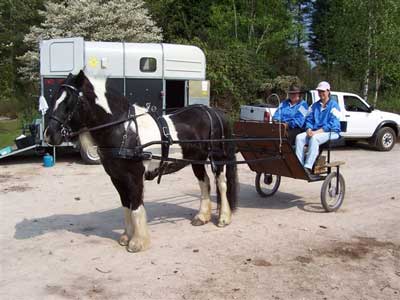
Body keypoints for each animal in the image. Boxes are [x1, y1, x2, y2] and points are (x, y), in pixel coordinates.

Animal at [43, 71, 238, 253]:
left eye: (69, 102)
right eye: (53, 99)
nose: (49, 134)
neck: (124, 130)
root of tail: (214, 112)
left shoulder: (134, 176)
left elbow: (136, 206)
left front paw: (138, 242)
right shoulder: (116, 177)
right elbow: (126, 205)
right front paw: (126, 236)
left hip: (217, 159)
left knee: (221, 184)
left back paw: (223, 218)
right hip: (196, 160)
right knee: (204, 183)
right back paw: (202, 217)